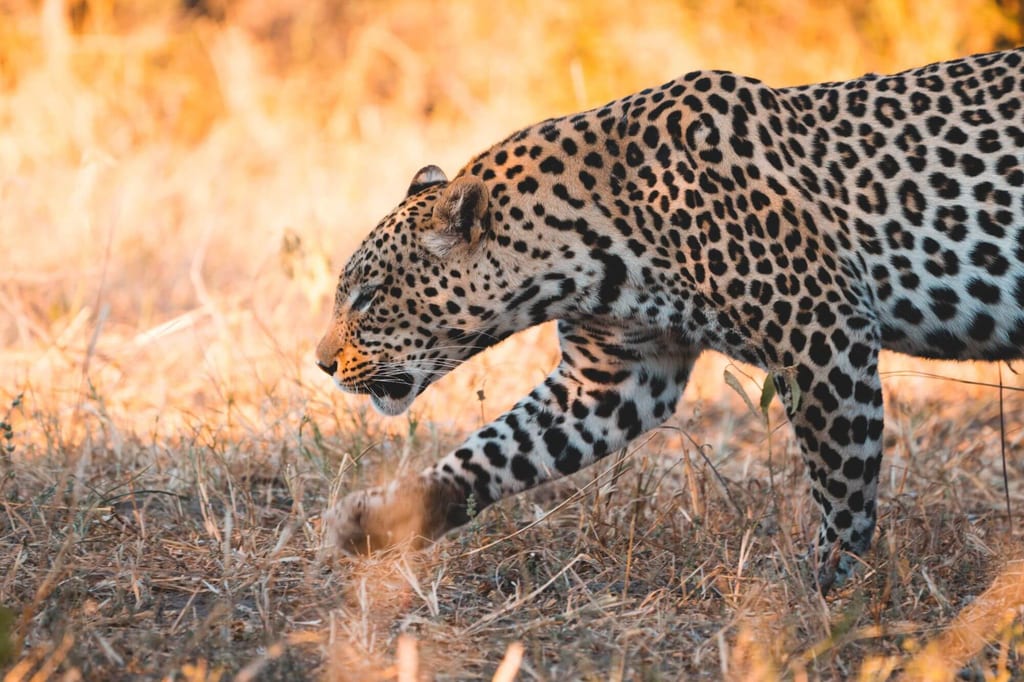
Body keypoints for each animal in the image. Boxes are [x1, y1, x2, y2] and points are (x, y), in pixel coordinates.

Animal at [315, 47, 1024, 593]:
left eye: (368, 295)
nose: (321, 364)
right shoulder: (613, 376)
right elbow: (494, 451)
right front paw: (376, 522)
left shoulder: (822, 329)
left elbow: (843, 472)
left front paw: (819, 583)